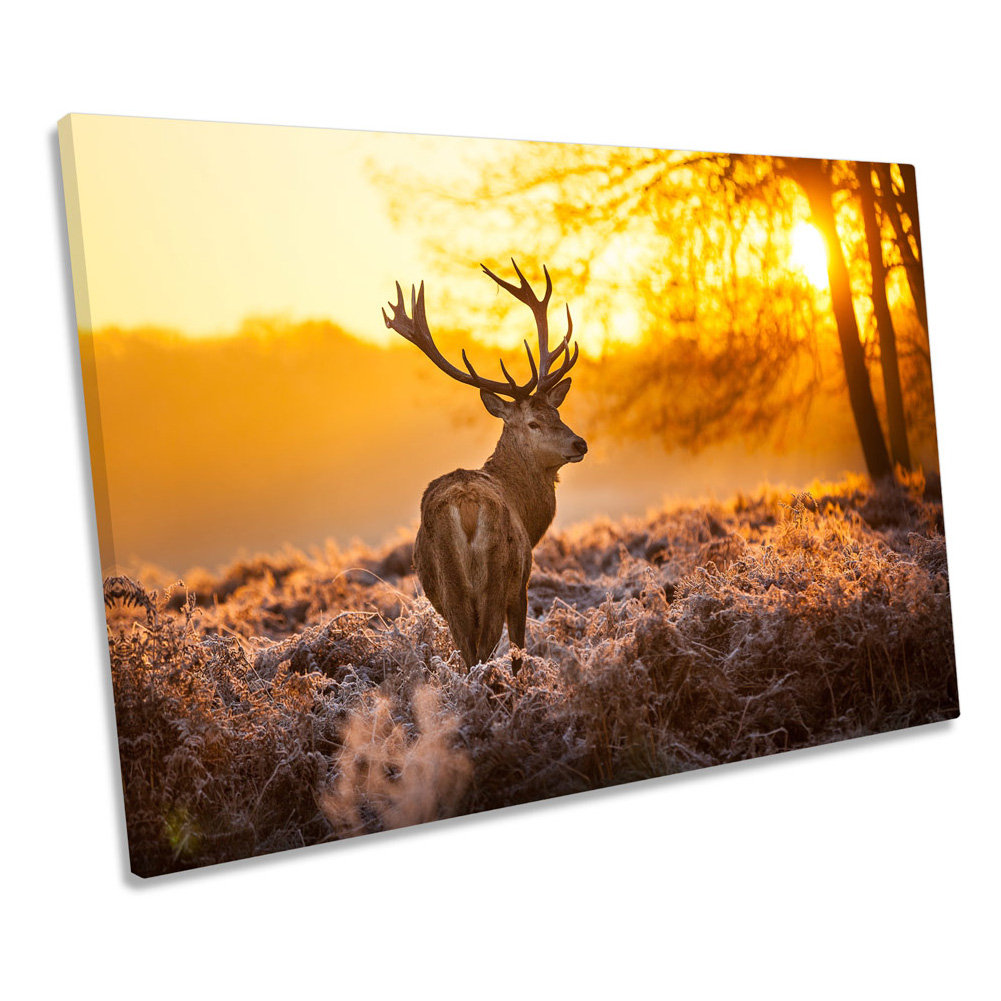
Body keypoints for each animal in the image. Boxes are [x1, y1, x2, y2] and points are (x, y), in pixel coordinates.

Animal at [383, 260, 587, 673]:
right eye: (533, 423)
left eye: (557, 412)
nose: (580, 443)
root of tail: (467, 508)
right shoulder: (521, 585)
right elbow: (519, 651)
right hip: (497, 579)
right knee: (484, 653)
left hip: (451, 591)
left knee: (468, 656)